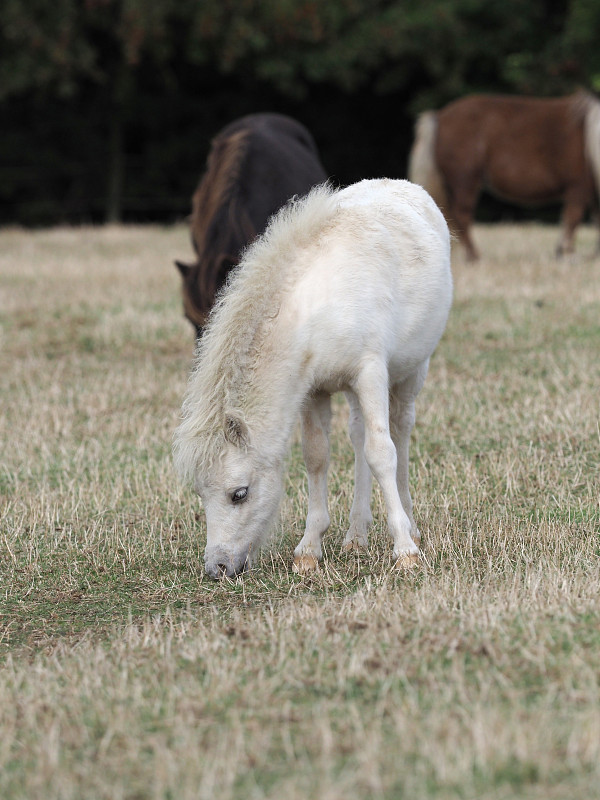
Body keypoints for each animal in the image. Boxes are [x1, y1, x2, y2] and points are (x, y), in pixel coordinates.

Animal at [408, 91, 600, 260]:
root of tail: (439, 116)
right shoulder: (577, 187)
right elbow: (573, 219)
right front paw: (566, 252)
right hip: (465, 181)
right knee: (462, 215)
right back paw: (474, 256)